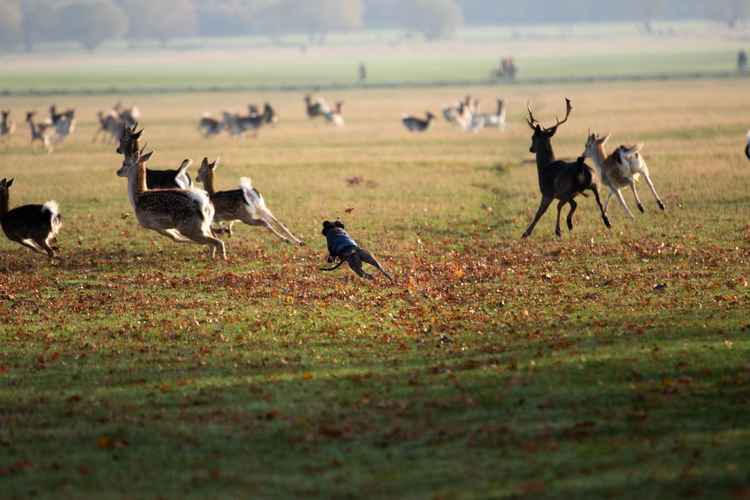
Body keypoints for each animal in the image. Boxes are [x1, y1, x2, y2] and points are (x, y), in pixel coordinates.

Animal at [524, 98, 612, 239]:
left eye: (533, 137)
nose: (531, 148)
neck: (544, 166)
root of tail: (581, 167)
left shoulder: (547, 192)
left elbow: (540, 212)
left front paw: (526, 233)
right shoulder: (568, 194)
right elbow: (574, 205)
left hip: (566, 189)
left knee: (560, 206)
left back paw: (559, 230)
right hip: (593, 183)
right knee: (598, 201)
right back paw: (606, 221)